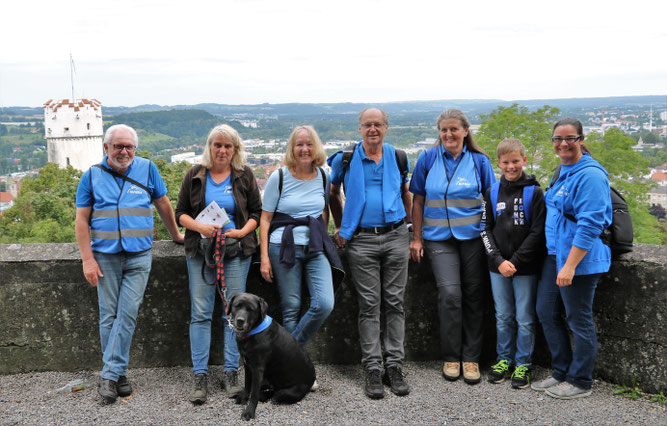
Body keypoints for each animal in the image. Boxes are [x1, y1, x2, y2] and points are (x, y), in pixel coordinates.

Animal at [227, 292, 316, 420]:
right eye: (237, 306)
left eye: (250, 309)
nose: (240, 320)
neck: (254, 331)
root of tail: (313, 378)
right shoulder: (247, 365)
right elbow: (247, 385)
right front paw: (243, 397)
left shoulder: (257, 369)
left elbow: (254, 394)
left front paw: (249, 412)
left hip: (287, 392)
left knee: (275, 395)